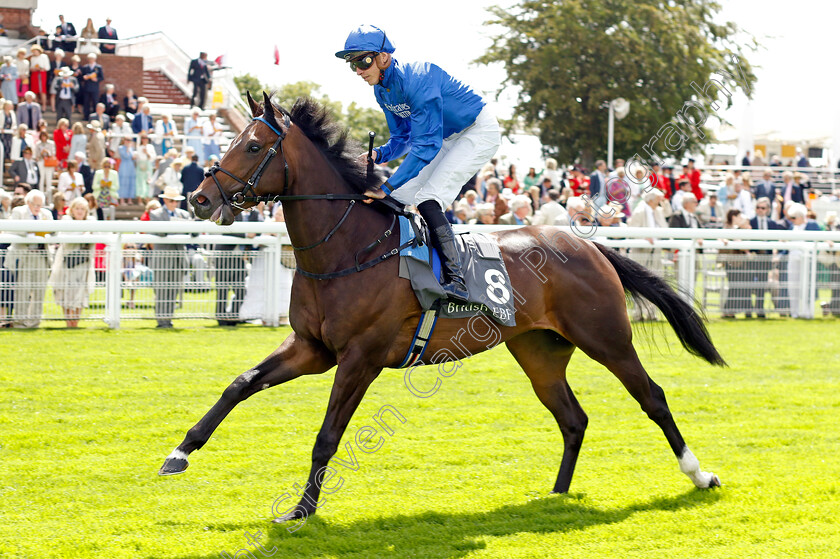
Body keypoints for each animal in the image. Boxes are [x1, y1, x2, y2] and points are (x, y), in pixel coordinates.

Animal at [161, 93, 724, 524]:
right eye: (230, 140)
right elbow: (240, 384)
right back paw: (555, 496)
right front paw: (179, 453)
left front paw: (301, 510)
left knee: (652, 397)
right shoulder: (311, 348)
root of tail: (589, 245)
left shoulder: (360, 358)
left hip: (606, 337)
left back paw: (699, 474)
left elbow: (327, 436)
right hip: (538, 350)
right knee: (573, 417)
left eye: (254, 145)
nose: (199, 199)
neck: (349, 248)